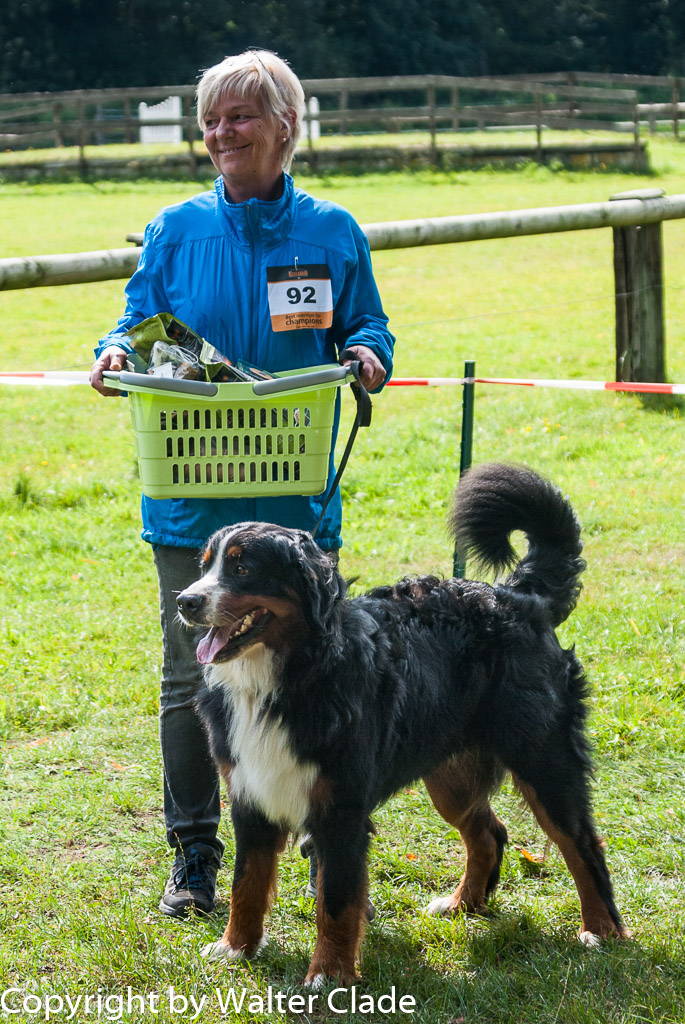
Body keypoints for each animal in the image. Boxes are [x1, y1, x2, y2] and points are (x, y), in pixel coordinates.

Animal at [176, 463, 627, 986]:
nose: (185, 601)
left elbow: (336, 902)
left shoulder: (341, 810)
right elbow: (246, 884)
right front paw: (236, 949)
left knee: (581, 843)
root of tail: (516, 596)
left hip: (543, 758)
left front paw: (329, 975)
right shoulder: (251, 795)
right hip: (451, 776)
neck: (287, 676)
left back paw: (602, 930)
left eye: (243, 568)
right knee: (488, 833)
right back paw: (462, 904)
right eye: (204, 566)